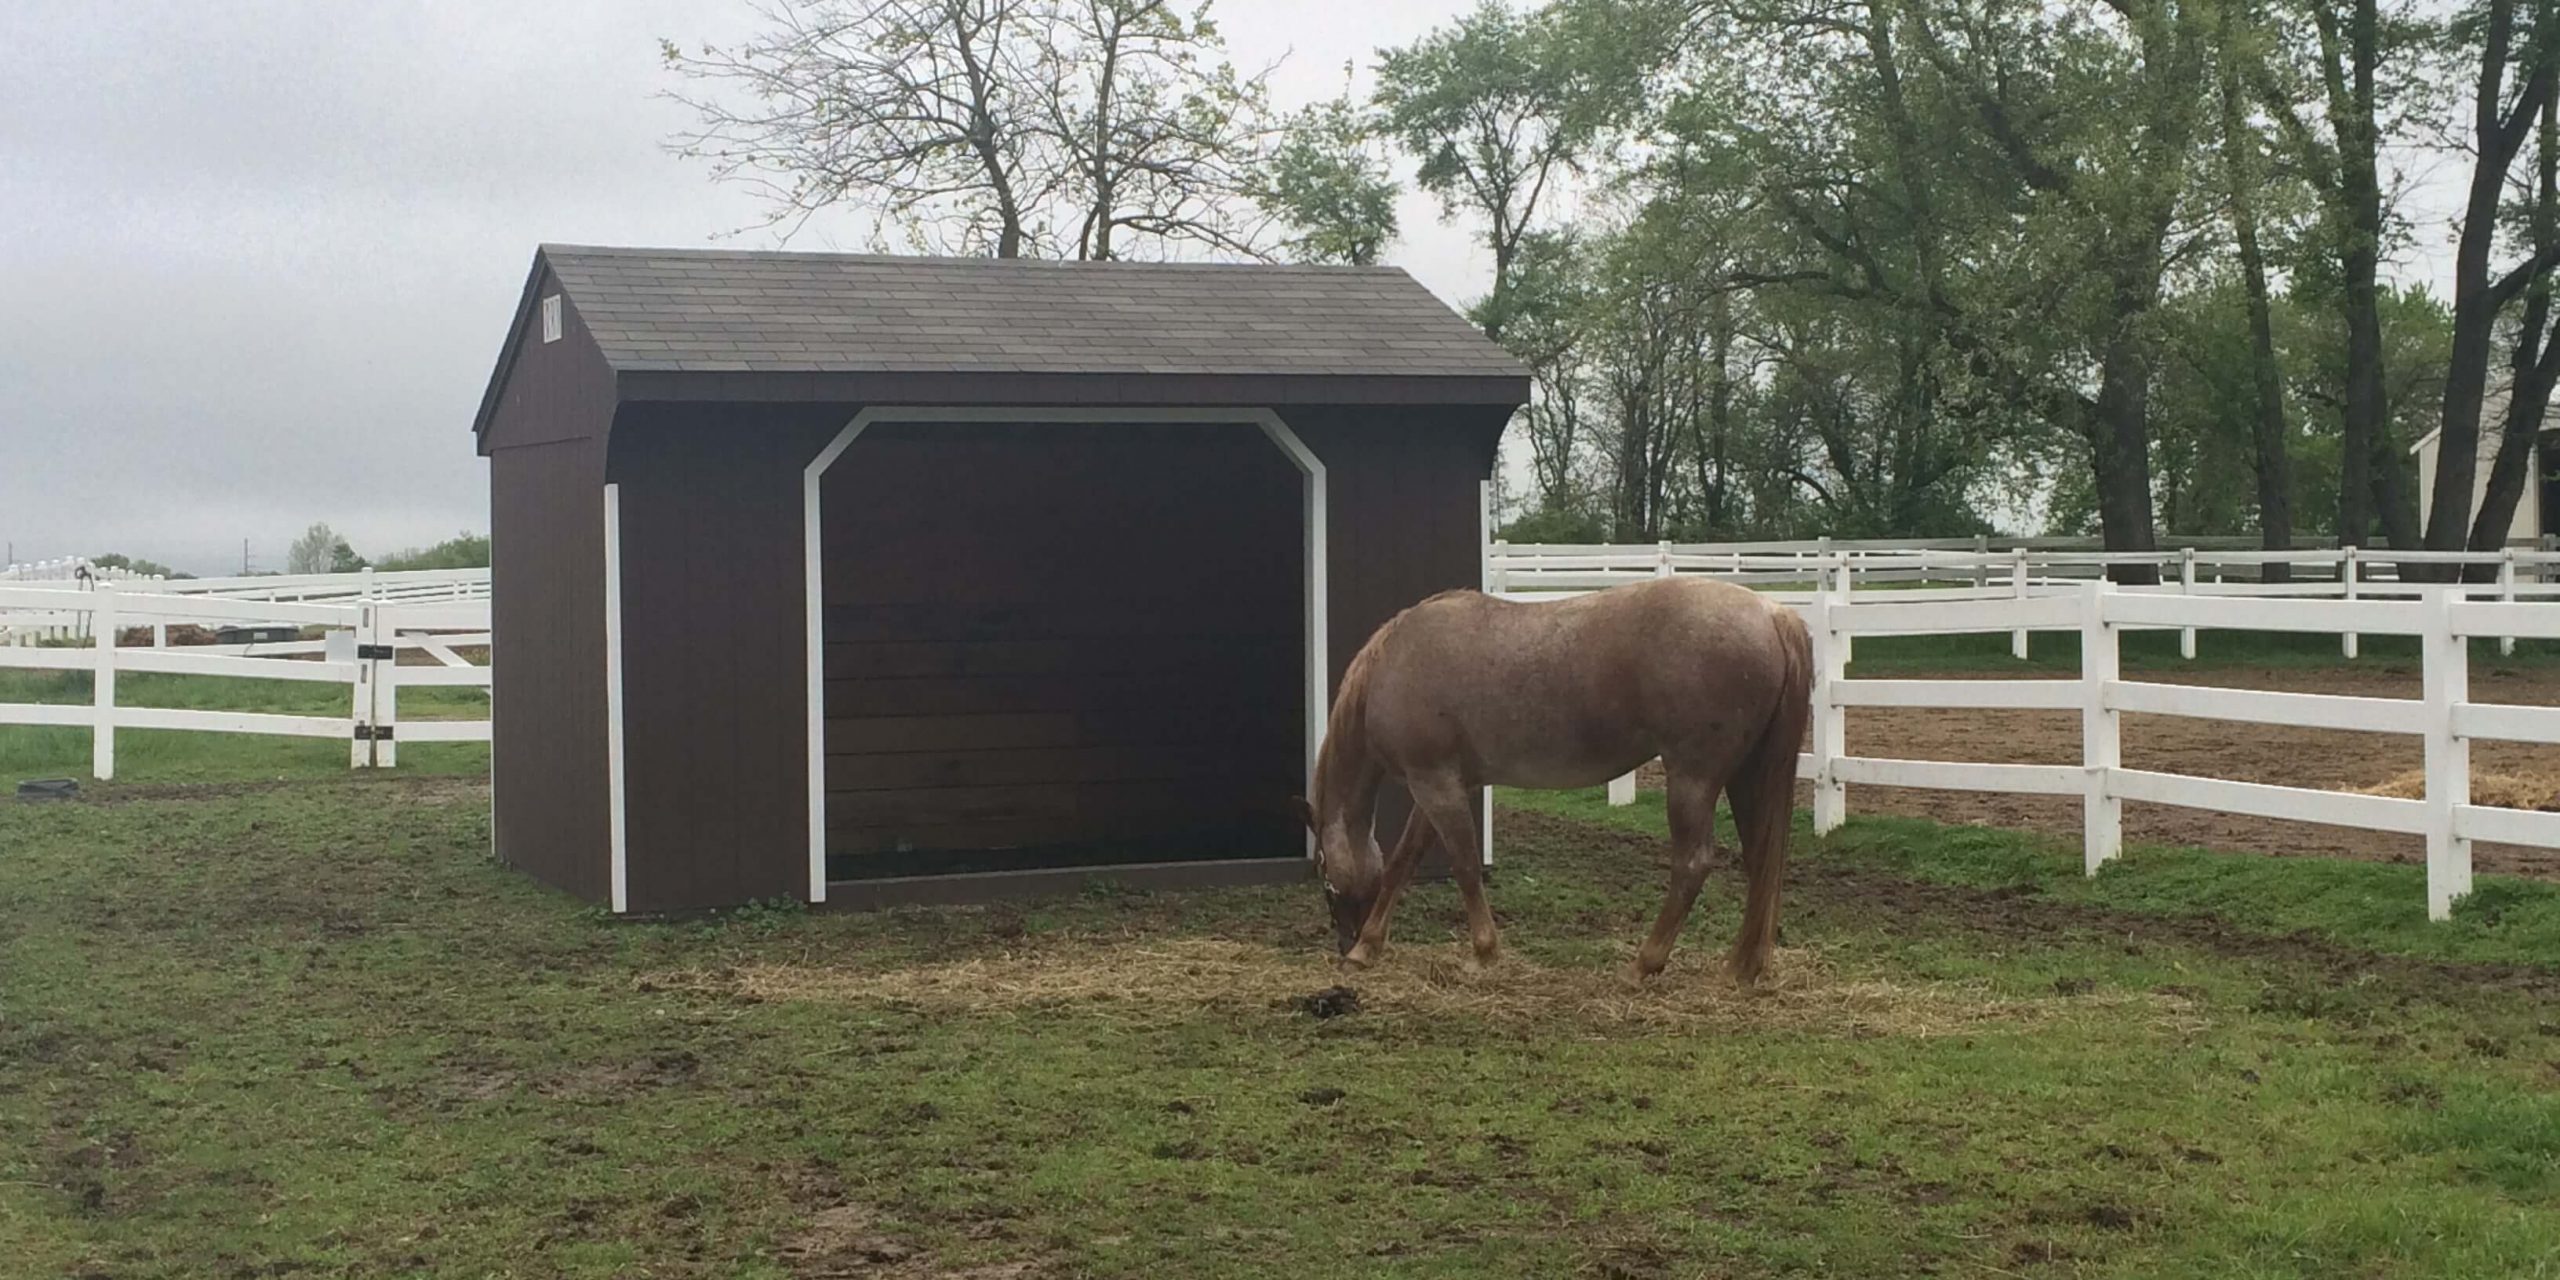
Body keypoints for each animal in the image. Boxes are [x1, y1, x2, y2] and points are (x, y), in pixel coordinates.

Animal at [1293, 576, 1813, 984]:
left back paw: (1643, 965)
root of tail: (1772, 614)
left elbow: (1463, 863)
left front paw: (1482, 953)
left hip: (1692, 779)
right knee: (1761, 858)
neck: (1395, 664)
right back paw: (1742, 967)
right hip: (1745, 774)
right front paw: (1369, 950)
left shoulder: (1434, 782)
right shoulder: (1445, 784)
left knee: (1693, 864)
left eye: (1322, 869)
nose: (1343, 941)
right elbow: (1405, 860)